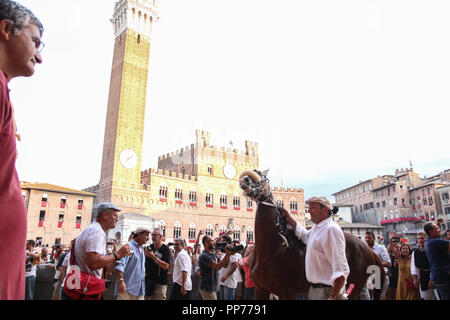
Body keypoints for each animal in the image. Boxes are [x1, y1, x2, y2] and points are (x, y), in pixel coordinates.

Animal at [237, 170, 384, 300]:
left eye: (262, 176)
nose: (245, 180)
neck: (275, 247)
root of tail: (369, 250)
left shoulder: (287, 291)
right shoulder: (261, 289)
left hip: (355, 286)